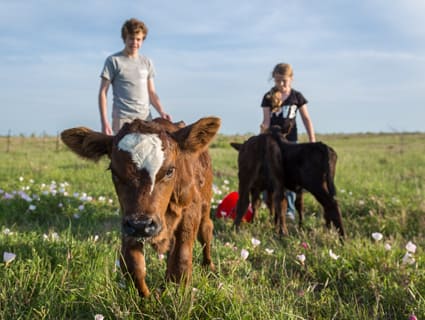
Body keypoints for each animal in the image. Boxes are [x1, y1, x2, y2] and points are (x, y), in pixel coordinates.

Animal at [61, 116, 220, 296]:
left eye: (170, 171)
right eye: (114, 171)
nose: (142, 225)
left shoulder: (189, 209)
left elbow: (182, 258)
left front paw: (177, 295)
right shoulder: (130, 219)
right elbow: (132, 264)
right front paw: (147, 299)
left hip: (205, 204)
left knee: (206, 230)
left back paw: (208, 266)